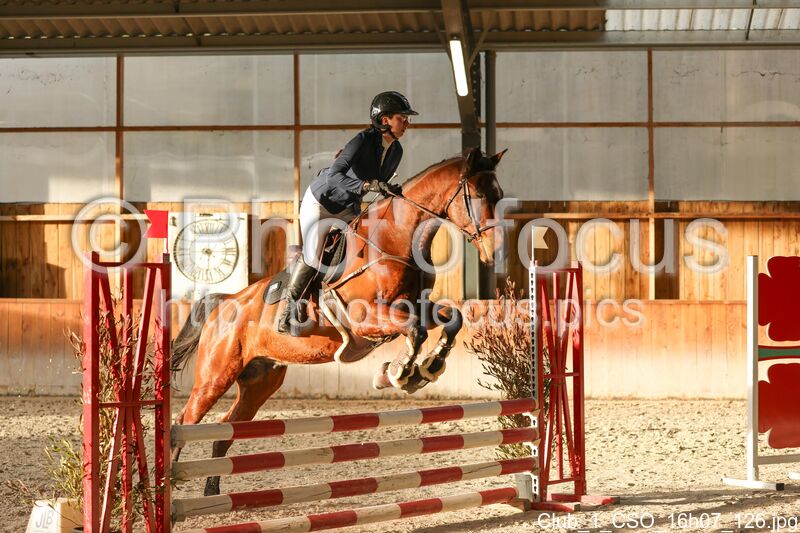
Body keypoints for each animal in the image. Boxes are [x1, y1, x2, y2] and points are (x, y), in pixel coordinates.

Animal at [170, 146, 507, 496]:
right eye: (478, 195)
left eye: (499, 195)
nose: (494, 252)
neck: (394, 238)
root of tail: (224, 303)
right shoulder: (365, 319)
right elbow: (416, 331)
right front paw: (399, 373)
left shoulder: (417, 306)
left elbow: (449, 320)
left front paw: (427, 366)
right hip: (215, 375)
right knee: (185, 420)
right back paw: (168, 483)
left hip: (259, 381)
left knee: (225, 428)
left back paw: (211, 490)